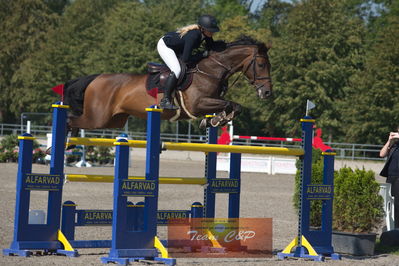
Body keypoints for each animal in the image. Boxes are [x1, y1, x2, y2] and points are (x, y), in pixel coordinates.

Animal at [55, 35, 272, 135]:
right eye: (261, 65)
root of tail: (96, 78)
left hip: (113, 120)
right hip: (97, 118)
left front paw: (215, 120)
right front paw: (217, 120)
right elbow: (231, 104)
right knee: (71, 120)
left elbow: (233, 106)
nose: (267, 93)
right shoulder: (197, 104)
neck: (210, 70)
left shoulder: (210, 101)